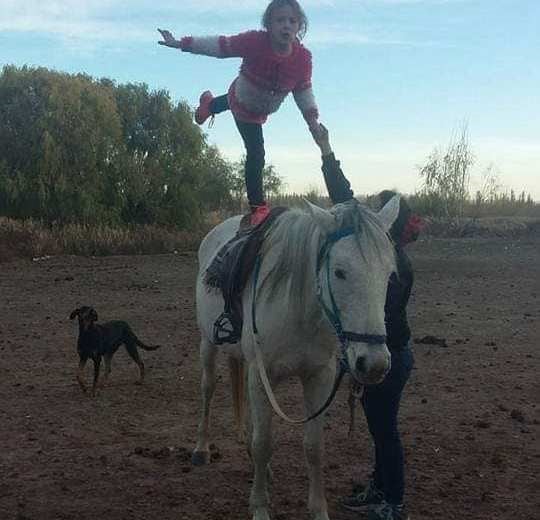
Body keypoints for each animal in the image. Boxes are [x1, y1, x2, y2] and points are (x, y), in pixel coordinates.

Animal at [194, 198, 400, 520]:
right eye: (339, 272)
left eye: (389, 274)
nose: (374, 364)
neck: (300, 308)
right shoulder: (262, 374)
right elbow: (264, 442)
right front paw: (260, 507)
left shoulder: (318, 376)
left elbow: (314, 447)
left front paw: (318, 510)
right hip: (208, 344)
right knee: (208, 390)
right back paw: (202, 449)